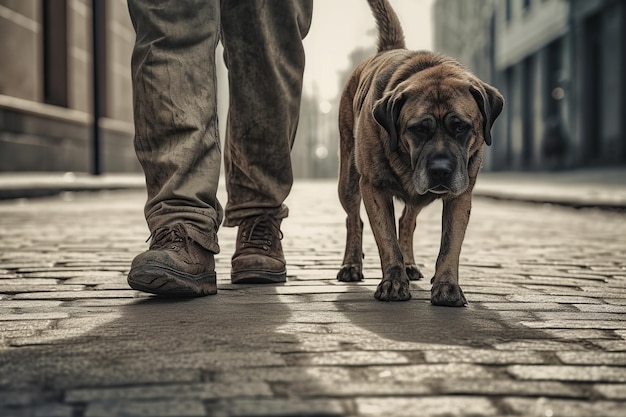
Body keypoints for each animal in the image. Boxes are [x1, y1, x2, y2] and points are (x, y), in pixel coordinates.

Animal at [336, 0, 502, 306]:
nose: (440, 169)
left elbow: (450, 243)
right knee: (354, 219)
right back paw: (352, 265)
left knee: (407, 220)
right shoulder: (373, 187)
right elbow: (386, 239)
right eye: (418, 129)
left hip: (421, 194)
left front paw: (447, 286)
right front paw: (393, 282)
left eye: (461, 127)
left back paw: (410, 264)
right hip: (349, 179)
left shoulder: (461, 194)